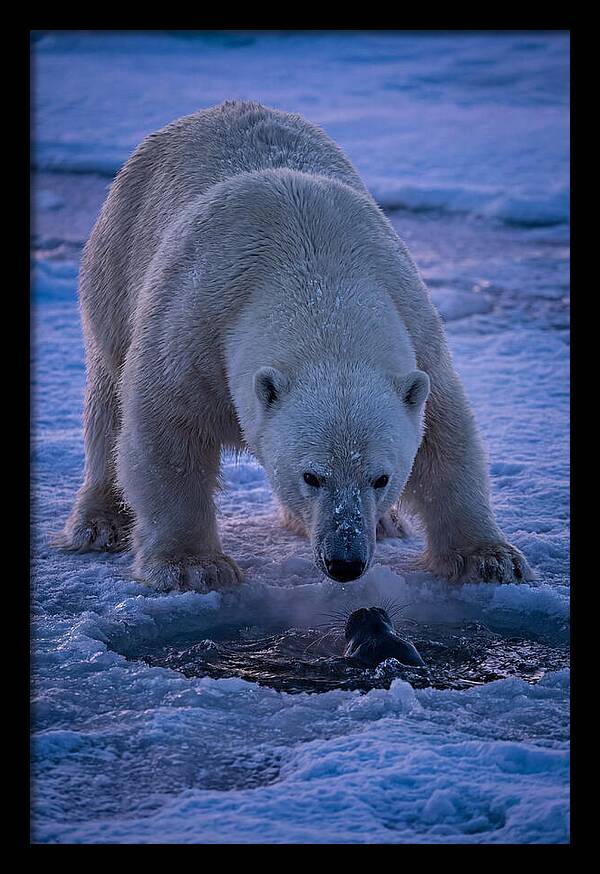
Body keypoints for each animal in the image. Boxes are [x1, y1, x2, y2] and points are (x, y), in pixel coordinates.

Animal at [59, 100, 533, 590]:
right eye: (312, 476)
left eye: (381, 478)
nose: (345, 562)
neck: (316, 271)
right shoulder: (193, 326)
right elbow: (167, 433)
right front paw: (192, 566)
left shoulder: (417, 329)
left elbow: (445, 436)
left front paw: (490, 558)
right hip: (116, 263)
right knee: (107, 398)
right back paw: (99, 522)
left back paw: (386, 523)